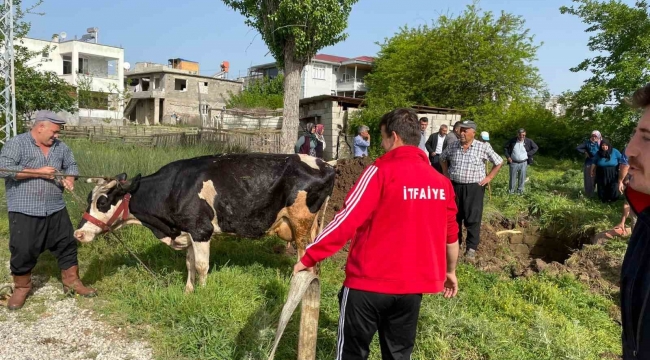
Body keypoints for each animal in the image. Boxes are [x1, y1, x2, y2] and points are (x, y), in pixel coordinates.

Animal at [76, 153, 334, 292]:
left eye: (102, 201)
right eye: (89, 198)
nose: (78, 234)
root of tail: (327, 164)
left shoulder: (202, 230)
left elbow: (201, 266)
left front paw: (202, 292)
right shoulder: (188, 231)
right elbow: (189, 264)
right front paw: (188, 291)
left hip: (301, 224)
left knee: (304, 257)